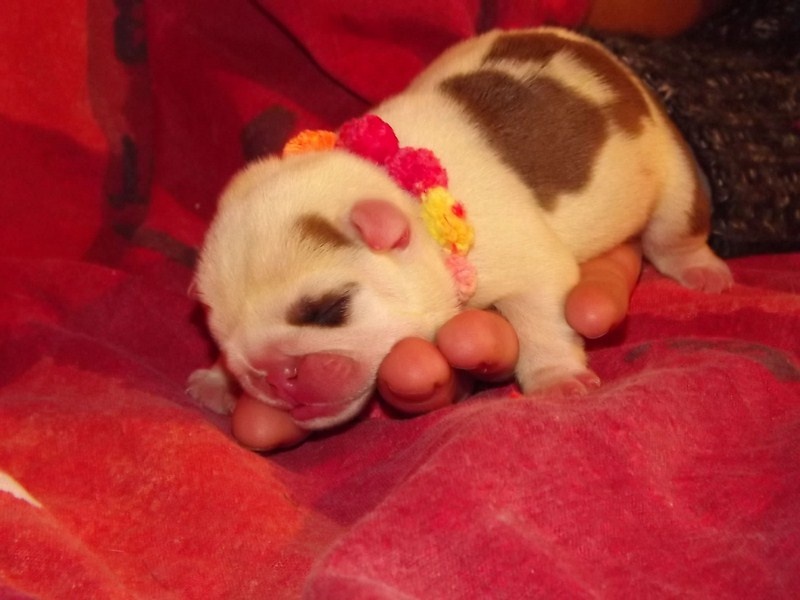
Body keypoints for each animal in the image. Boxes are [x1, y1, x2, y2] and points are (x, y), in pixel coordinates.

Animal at [187, 27, 732, 431]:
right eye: (222, 336)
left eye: (327, 310)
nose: (271, 375)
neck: (395, 187)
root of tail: (601, 56)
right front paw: (217, 380)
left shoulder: (531, 269)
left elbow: (541, 320)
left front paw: (555, 378)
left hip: (674, 173)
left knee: (674, 233)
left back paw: (701, 270)